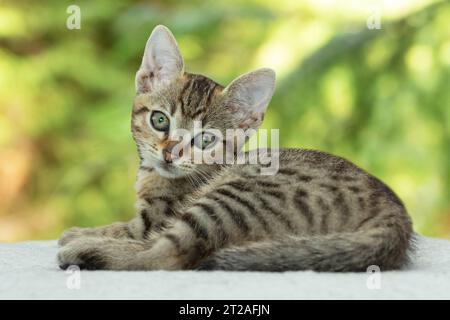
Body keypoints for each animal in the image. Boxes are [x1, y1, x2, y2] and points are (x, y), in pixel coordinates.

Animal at [58, 25, 414, 272]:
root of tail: (395, 214)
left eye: (206, 140)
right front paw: (82, 230)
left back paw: (86, 251)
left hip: (235, 196)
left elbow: (127, 228)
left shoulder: (156, 218)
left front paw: (78, 234)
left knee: (168, 255)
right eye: (159, 120)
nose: (171, 153)